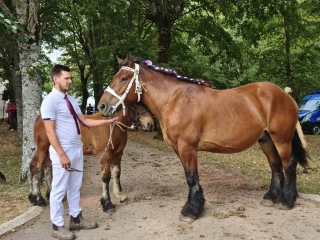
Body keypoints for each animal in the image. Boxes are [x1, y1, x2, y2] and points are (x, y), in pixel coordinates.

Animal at [28, 103, 156, 212]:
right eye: (137, 105)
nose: (150, 124)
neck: (112, 126)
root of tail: (40, 118)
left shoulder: (118, 154)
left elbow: (116, 174)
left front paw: (119, 194)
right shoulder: (105, 155)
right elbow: (106, 177)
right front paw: (107, 203)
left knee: (47, 167)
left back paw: (49, 194)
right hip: (42, 148)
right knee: (35, 167)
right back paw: (38, 199)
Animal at [98, 55, 310, 222]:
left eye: (123, 78)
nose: (102, 106)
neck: (175, 100)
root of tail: (286, 95)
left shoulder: (187, 147)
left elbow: (192, 178)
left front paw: (190, 211)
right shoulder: (179, 148)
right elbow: (190, 177)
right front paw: (197, 205)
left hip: (281, 139)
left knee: (289, 165)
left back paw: (286, 200)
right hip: (266, 139)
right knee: (276, 165)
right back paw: (271, 197)